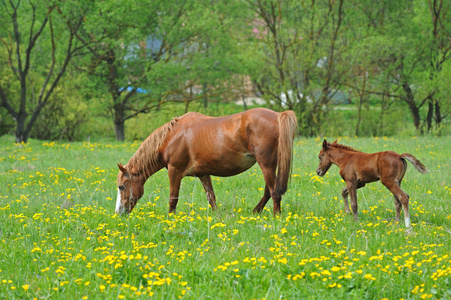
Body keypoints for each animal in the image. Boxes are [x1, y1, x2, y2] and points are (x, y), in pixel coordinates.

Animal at [115, 108, 298, 216]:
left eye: (121, 187)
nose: (119, 212)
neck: (172, 136)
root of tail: (278, 115)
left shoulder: (174, 171)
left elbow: (173, 198)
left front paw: (170, 219)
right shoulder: (203, 174)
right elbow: (211, 198)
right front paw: (217, 217)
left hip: (266, 164)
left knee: (274, 192)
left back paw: (275, 216)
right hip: (271, 164)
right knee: (269, 191)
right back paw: (256, 211)